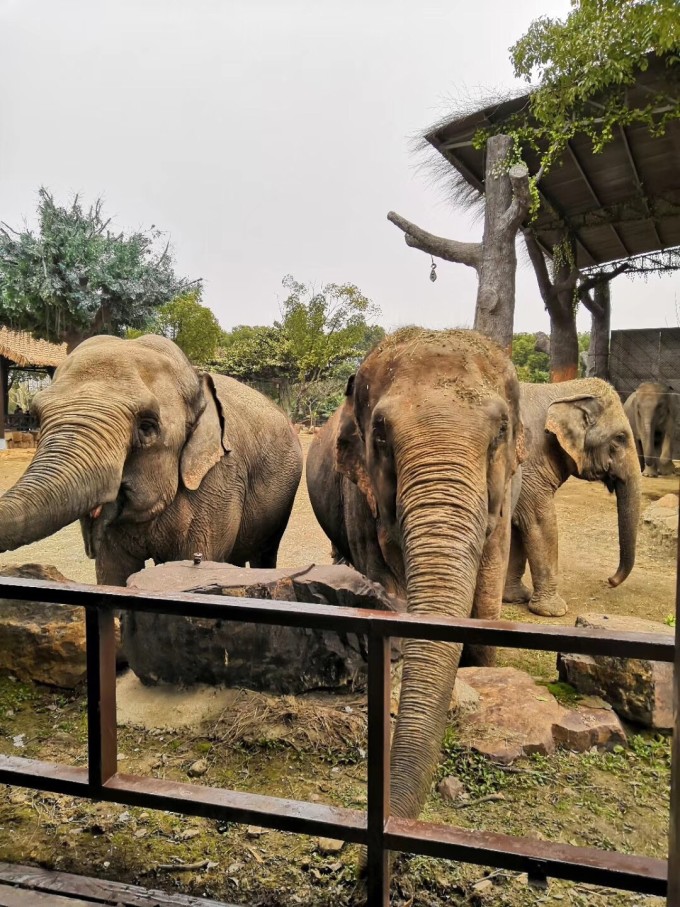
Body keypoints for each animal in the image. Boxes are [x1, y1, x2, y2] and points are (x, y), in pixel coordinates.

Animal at [306, 330, 524, 832]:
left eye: (501, 432)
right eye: (381, 435)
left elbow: (489, 588)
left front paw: (481, 669)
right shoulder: (359, 497)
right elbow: (384, 581)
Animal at [504, 376, 644, 616]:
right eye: (620, 438)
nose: (610, 580)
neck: (564, 389)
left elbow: (517, 524)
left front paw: (515, 598)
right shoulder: (528, 462)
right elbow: (539, 521)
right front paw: (554, 611)